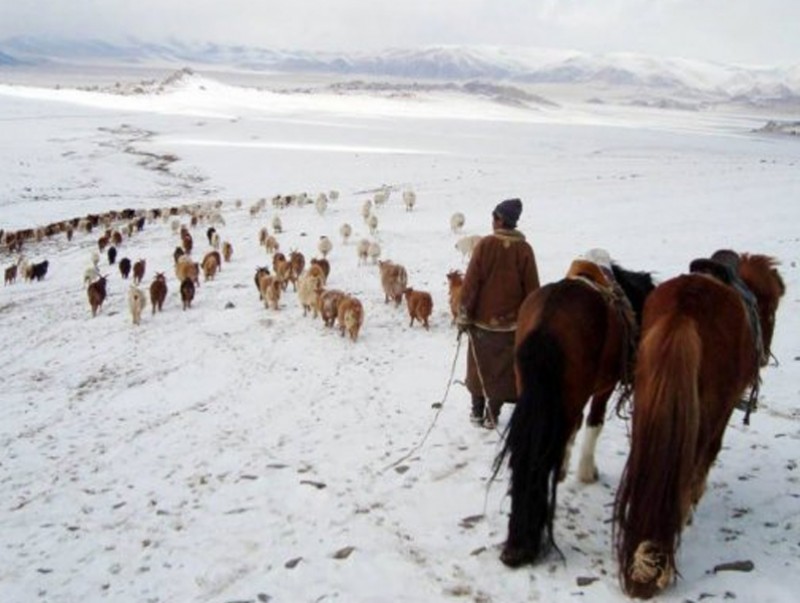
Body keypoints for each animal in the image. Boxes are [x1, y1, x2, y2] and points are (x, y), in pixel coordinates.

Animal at [494, 262, 656, 568]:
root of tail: (548, 320)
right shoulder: (603, 387)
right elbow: (593, 423)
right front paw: (586, 472)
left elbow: (573, 428)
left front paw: (564, 468)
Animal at [616, 251, 784, 600]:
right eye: (773, 309)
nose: (763, 358)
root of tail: (685, 308)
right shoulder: (723, 411)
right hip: (707, 410)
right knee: (693, 460)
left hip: (648, 398)